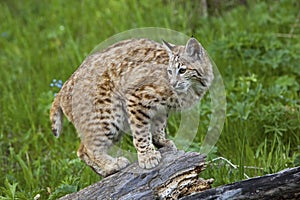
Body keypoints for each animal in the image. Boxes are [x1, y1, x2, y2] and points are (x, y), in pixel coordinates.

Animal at [49, 37, 213, 177]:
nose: (172, 83)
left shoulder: (161, 109)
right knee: (87, 149)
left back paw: (106, 171)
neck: (193, 87)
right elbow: (141, 132)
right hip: (109, 115)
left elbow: (158, 126)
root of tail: (63, 86)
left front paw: (161, 142)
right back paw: (113, 165)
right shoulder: (136, 98)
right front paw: (148, 157)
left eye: (182, 70)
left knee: (82, 149)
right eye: (170, 71)